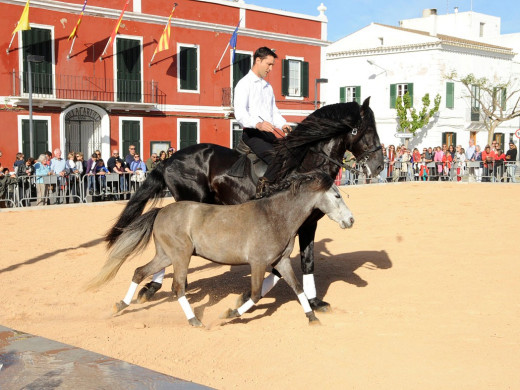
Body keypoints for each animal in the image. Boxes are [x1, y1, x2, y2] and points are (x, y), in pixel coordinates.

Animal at [88, 172, 354, 328]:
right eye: (337, 196)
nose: (351, 220)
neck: (275, 215)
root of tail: (161, 211)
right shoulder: (258, 262)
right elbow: (255, 295)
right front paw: (229, 313)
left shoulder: (281, 261)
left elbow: (297, 287)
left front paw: (312, 317)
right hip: (180, 256)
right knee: (177, 287)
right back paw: (194, 320)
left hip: (165, 255)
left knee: (139, 272)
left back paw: (121, 305)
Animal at [105, 97, 384, 310]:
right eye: (367, 131)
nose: (379, 165)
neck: (306, 161)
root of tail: (168, 160)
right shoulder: (298, 225)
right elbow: (288, 265)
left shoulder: (308, 225)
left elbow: (306, 261)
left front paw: (313, 300)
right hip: (190, 202)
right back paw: (153, 286)